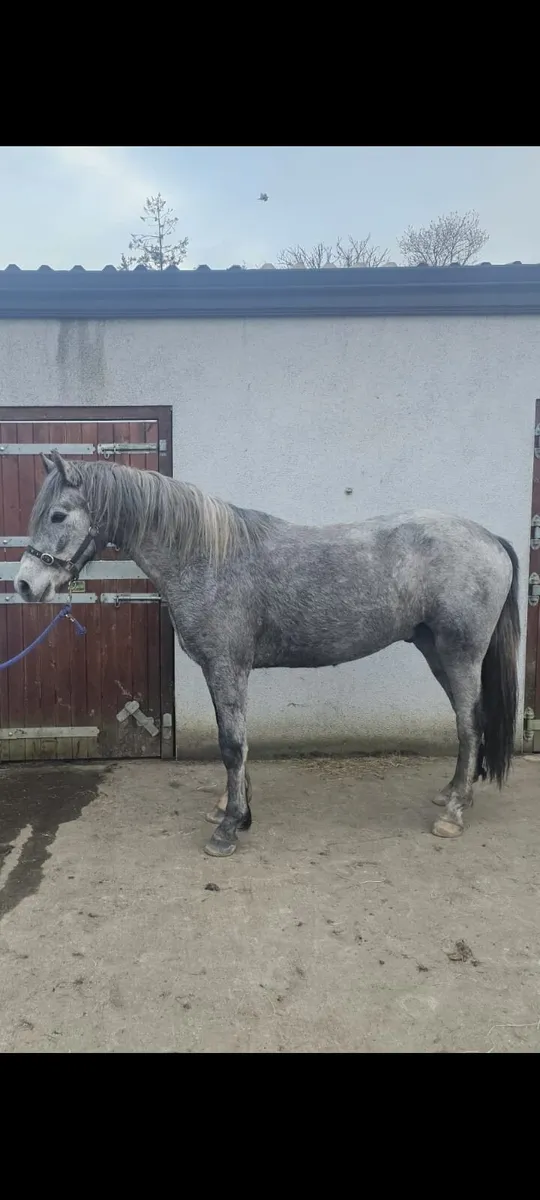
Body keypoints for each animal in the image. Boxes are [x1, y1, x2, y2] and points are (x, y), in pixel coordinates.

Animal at [14, 450, 520, 859]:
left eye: (57, 515)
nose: (24, 585)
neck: (208, 558)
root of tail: (489, 537)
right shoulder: (222, 669)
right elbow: (232, 737)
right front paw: (231, 806)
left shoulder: (227, 666)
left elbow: (232, 743)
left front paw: (229, 827)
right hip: (436, 652)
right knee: (464, 724)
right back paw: (450, 794)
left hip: (460, 654)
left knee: (470, 724)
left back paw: (453, 814)